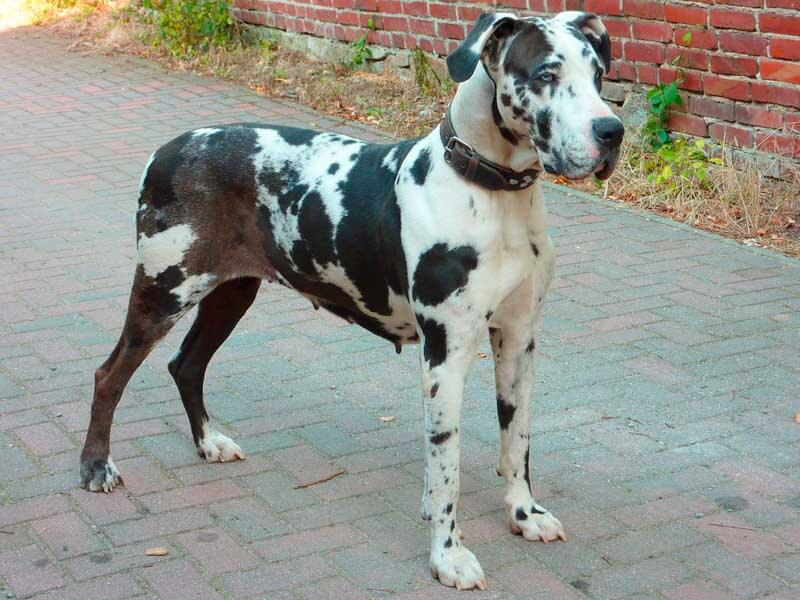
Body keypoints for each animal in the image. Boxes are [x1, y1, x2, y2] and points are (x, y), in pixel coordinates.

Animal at [83, 10, 624, 592]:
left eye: (598, 76)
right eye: (546, 74)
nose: (612, 131)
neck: (494, 192)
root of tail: (167, 150)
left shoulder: (519, 341)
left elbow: (517, 442)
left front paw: (524, 515)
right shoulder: (446, 353)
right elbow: (448, 465)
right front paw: (448, 555)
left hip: (230, 293)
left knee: (186, 364)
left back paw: (209, 442)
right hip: (163, 291)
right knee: (109, 375)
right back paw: (96, 467)